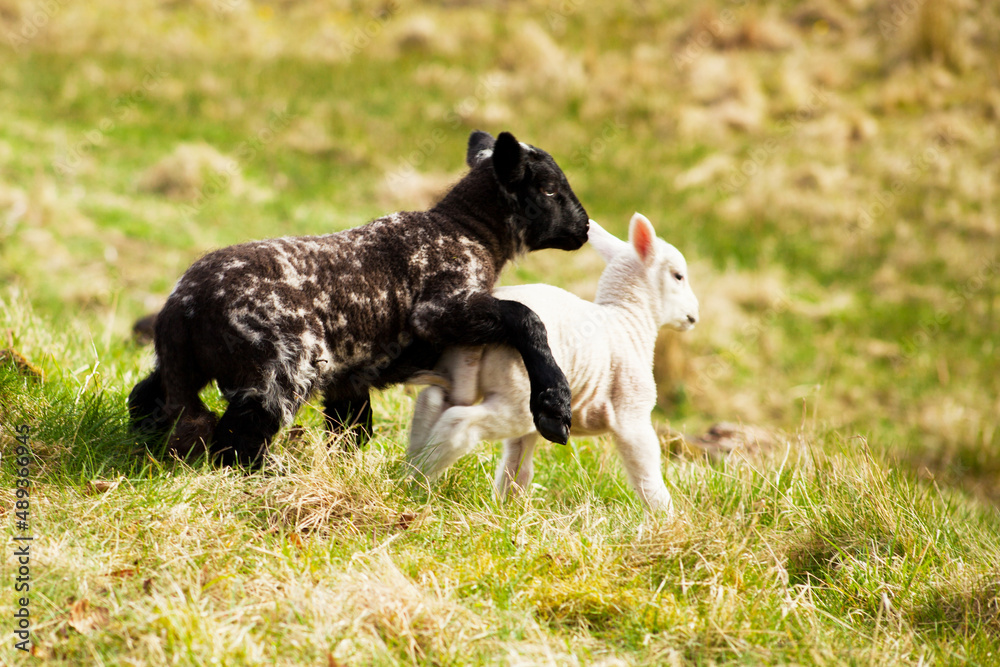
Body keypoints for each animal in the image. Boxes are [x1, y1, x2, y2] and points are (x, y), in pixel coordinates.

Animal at [129, 129, 588, 464]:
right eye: (549, 189)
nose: (584, 229)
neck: (468, 229)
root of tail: (183, 307)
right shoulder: (440, 309)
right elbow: (525, 316)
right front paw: (553, 408)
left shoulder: (348, 375)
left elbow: (353, 432)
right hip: (280, 367)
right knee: (238, 440)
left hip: (187, 367)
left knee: (147, 398)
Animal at [402, 211, 700, 516]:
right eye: (678, 275)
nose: (694, 316)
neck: (630, 319)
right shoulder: (632, 416)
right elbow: (647, 477)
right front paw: (667, 517)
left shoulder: (539, 424)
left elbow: (517, 469)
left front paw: (509, 510)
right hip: (517, 394)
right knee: (458, 423)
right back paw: (421, 482)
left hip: (464, 371)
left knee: (432, 402)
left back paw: (409, 475)